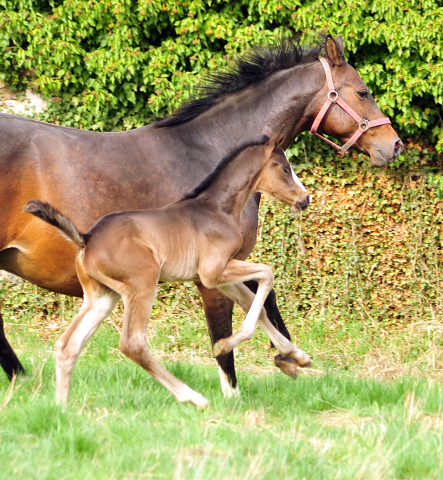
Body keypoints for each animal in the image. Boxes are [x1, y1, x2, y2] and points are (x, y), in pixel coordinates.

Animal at [23, 128, 312, 408]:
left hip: (101, 296)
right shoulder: (213, 271)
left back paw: (62, 409)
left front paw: (297, 356)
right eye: (285, 168)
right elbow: (267, 274)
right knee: (133, 344)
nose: (305, 199)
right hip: (142, 284)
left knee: (68, 344)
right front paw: (223, 345)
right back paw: (194, 398)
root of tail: (87, 237)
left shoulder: (216, 275)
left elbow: (254, 304)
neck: (218, 209)